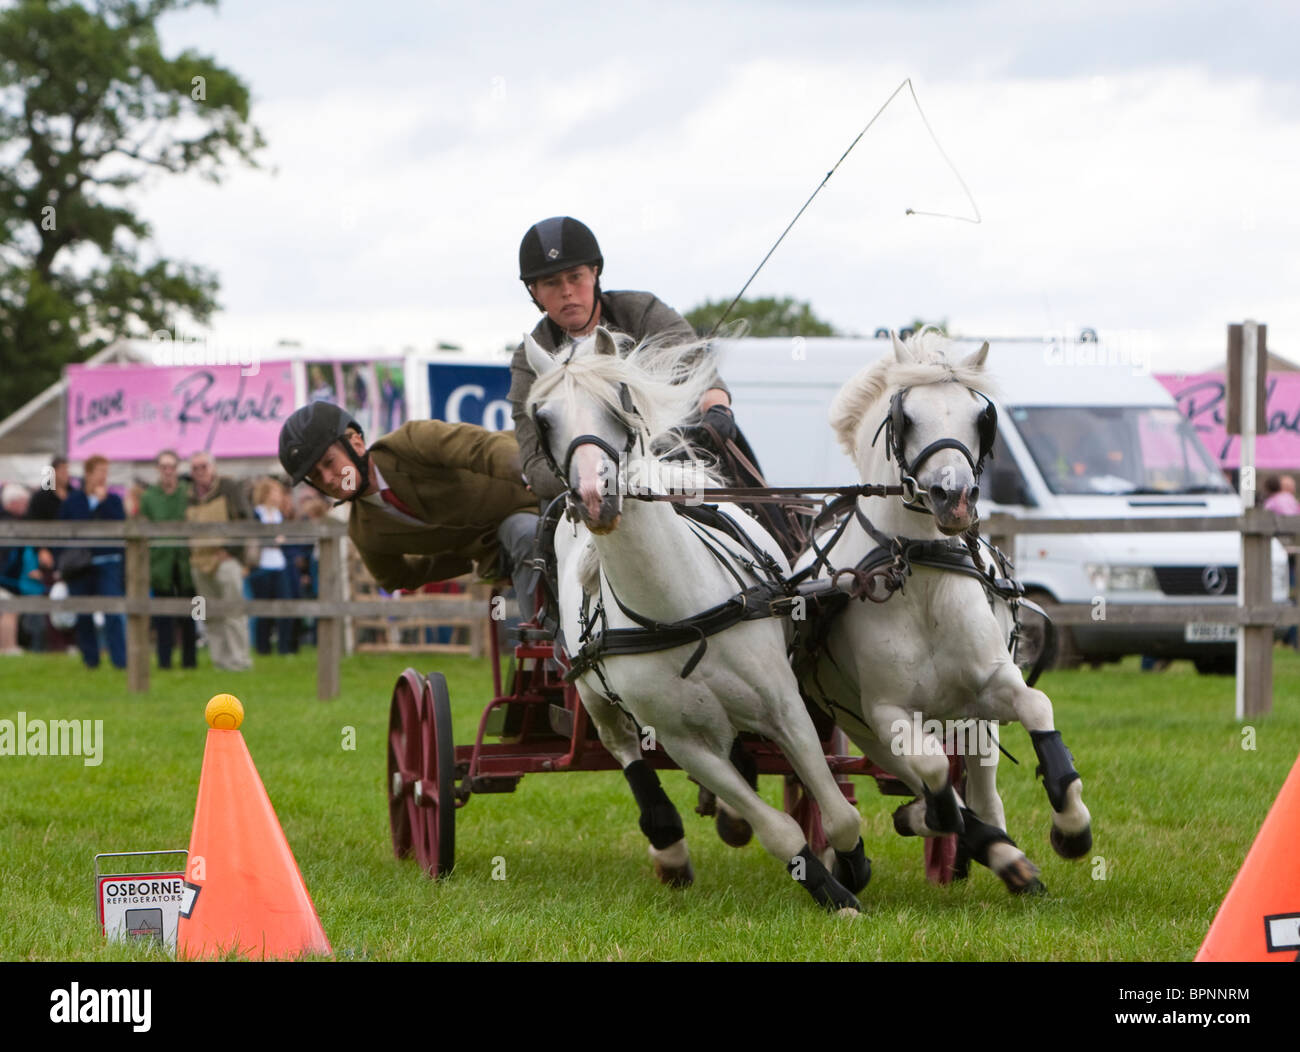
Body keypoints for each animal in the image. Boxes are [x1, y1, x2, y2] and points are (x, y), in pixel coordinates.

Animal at [522, 327, 868, 910]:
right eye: (542, 419)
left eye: (619, 399)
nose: (594, 497)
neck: (678, 612)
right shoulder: (682, 742)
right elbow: (777, 830)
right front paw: (832, 892)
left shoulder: (785, 706)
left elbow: (837, 812)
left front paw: (853, 869)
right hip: (592, 691)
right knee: (623, 748)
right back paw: (670, 845)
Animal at [795, 332, 1092, 889]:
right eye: (907, 417)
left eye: (982, 416)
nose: (953, 497)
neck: (921, 573)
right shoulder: (885, 712)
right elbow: (933, 776)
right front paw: (925, 818)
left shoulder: (993, 683)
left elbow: (1038, 708)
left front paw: (1071, 828)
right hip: (862, 724)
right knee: (928, 779)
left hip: (974, 721)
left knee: (984, 788)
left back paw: (1009, 859)